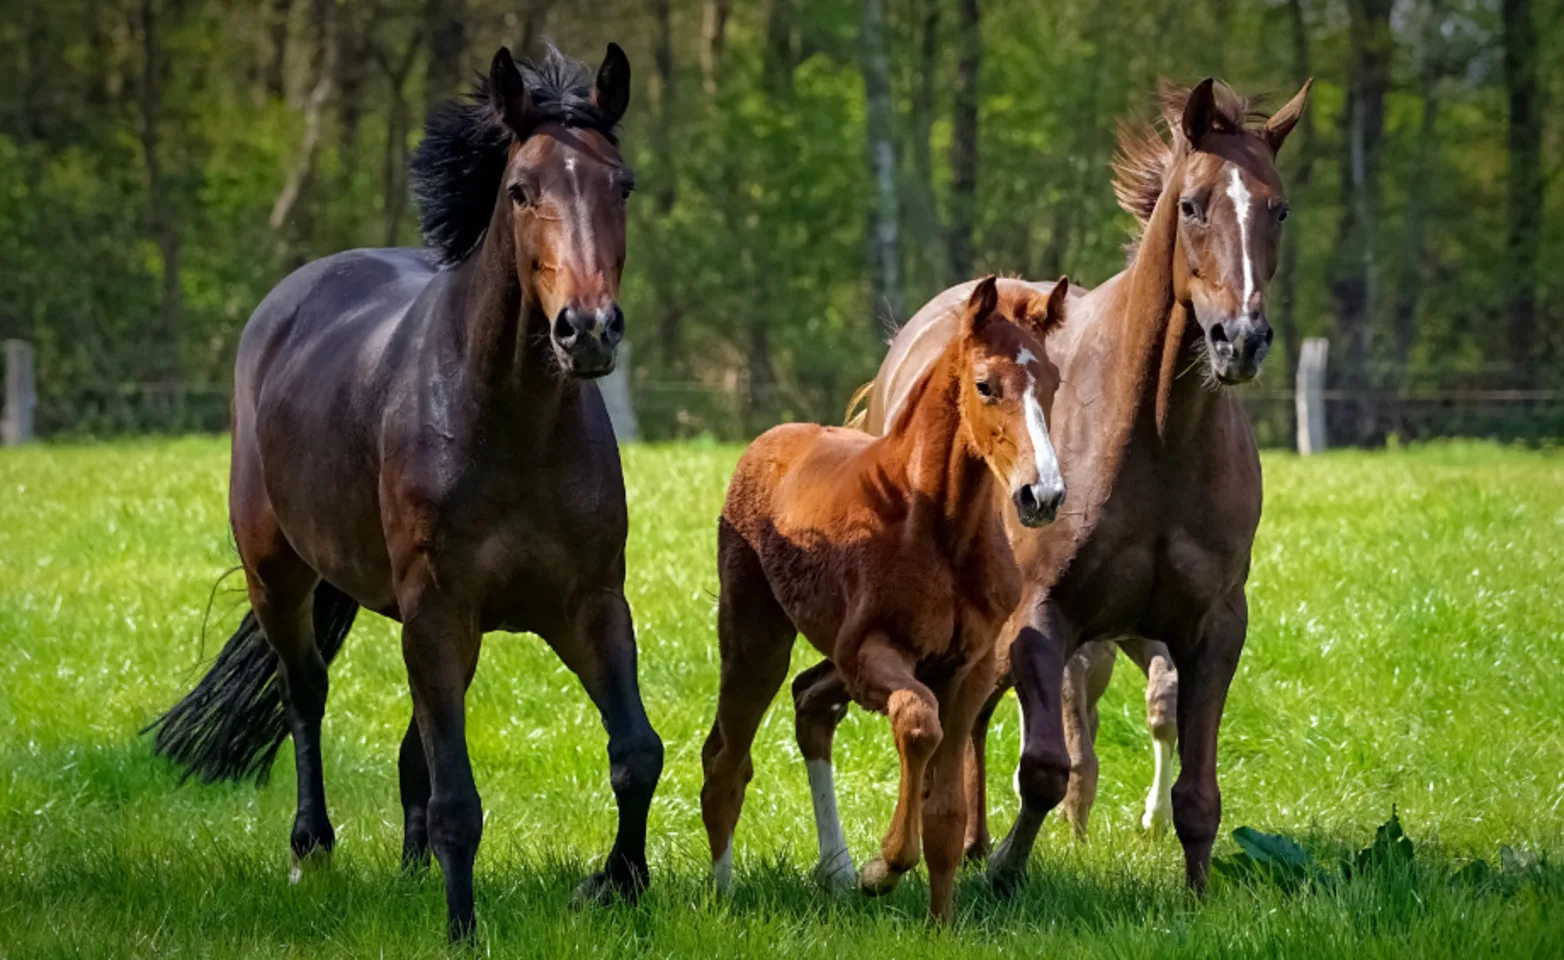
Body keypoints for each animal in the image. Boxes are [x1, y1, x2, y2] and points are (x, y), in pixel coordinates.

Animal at [145, 44, 663, 940]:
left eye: (620, 184)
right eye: (520, 188)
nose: (588, 330)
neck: (508, 426)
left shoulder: (589, 605)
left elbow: (635, 752)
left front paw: (616, 886)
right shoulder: (437, 610)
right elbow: (460, 799)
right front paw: (462, 929)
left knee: (412, 741)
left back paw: (412, 867)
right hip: (280, 576)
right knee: (305, 695)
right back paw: (312, 846)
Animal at [701, 276, 1070, 921]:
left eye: (1051, 381)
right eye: (985, 385)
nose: (1041, 494)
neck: (938, 526)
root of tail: (770, 439)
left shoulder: (969, 668)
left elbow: (947, 810)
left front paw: (941, 922)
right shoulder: (869, 653)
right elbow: (918, 721)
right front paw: (884, 868)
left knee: (806, 708)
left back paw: (834, 870)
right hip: (755, 641)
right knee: (726, 758)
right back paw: (727, 895)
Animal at [854, 77, 1312, 894]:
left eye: (1279, 208)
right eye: (1192, 204)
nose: (1240, 340)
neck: (1156, 439)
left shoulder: (1213, 627)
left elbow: (1198, 789)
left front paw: (1198, 892)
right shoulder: (1043, 619)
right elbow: (1044, 767)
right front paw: (1005, 872)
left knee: (972, 720)